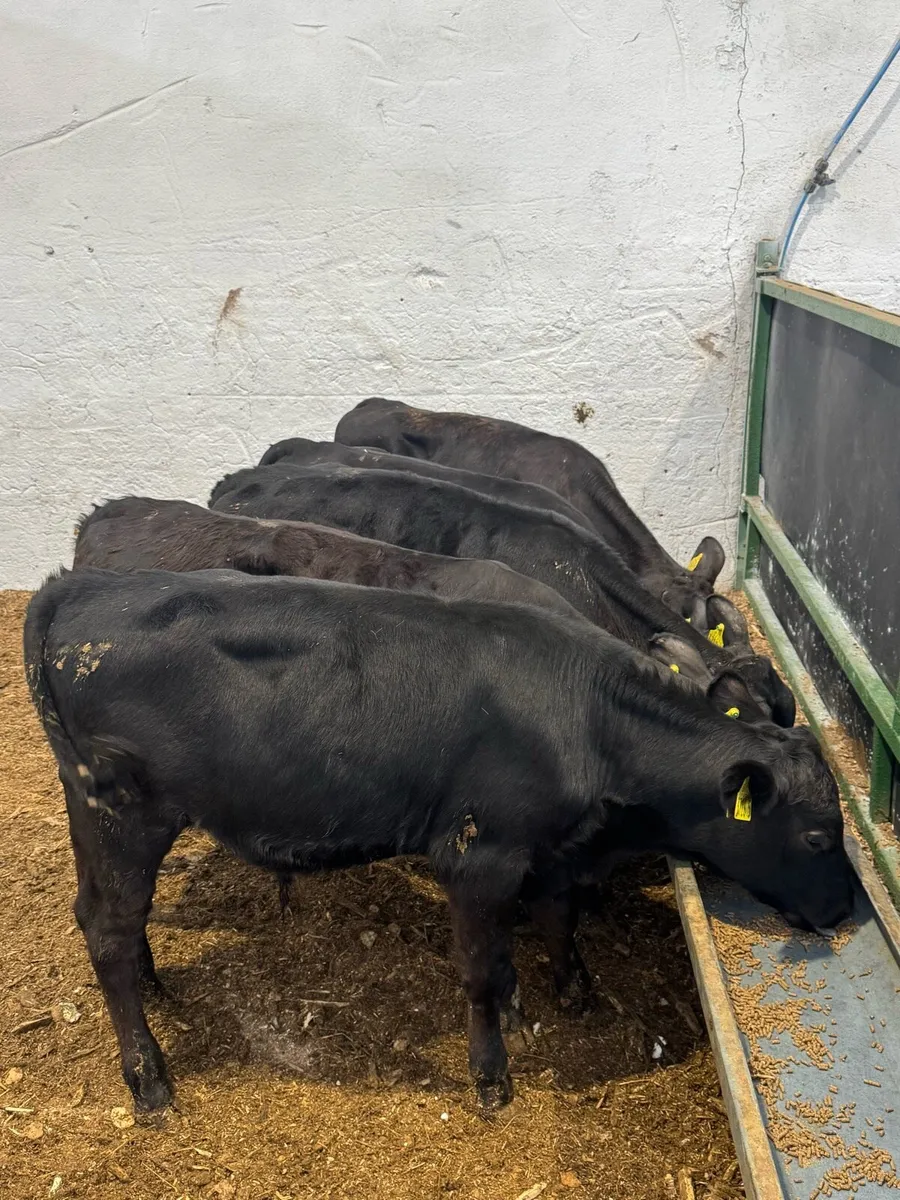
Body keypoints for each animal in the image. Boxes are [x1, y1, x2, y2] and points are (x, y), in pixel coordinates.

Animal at [25, 569, 853, 1114]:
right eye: (818, 836)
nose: (847, 907)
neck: (590, 717)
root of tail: (80, 583)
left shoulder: (544, 850)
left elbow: (554, 920)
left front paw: (566, 991)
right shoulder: (478, 855)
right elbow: (481, 970)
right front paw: (492, 1072)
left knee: (108, 920)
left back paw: (156, 986)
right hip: (122, 813)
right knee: (106, 929)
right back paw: (148, 1078)